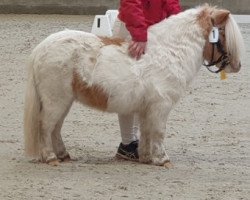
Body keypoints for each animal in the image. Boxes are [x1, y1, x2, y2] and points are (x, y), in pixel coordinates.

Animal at [23, 5, 244, 166]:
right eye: (223, 33)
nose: (237, 66)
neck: (169, 52)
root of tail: (41, 48)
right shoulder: (161, 106)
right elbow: (159, 131)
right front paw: (162, 159)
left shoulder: (147, 108)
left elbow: (146, 132)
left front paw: (145, 157)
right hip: (56, 100)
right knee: (46, 126)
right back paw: (51, 158)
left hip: (64, 101)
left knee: (55, 128)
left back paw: (63, 155)